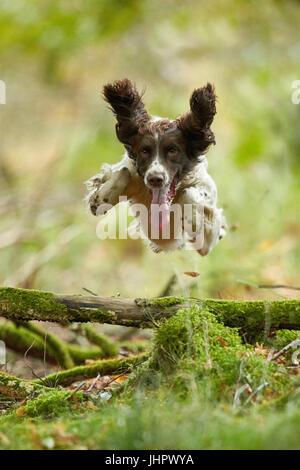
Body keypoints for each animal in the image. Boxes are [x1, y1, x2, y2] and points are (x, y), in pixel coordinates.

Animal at [85, 78, 226, 253]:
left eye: (172, 150)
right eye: (145, 151)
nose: (155, 179)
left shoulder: (207, 241)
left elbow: (190, 193)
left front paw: (193, 219)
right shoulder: (125, 171)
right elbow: (122, 172)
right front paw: (102, 198)